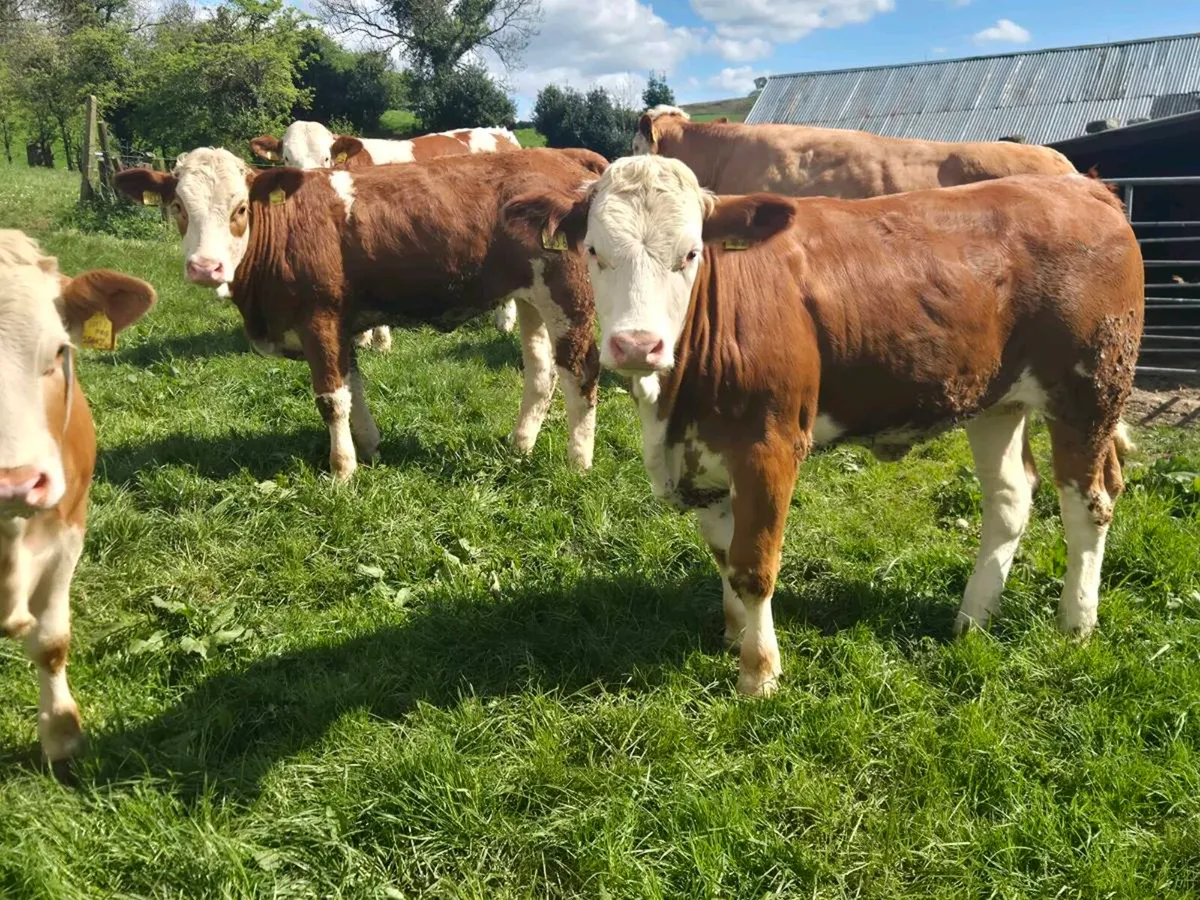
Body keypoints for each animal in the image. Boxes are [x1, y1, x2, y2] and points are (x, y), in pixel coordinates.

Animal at [114, 147, 606, 483]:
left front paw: (342, 468)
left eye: (240, 209)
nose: (205, 267)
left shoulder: (319, 320)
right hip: (531, 299)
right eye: (178, 207)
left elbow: (332, 399)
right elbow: (353, 385)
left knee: (581, 372)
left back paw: (578, 462)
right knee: (541, 374)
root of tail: (560, 155)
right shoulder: (340, 325)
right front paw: (369, 445)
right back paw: (520, 445)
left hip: (569, 297)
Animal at [250, 121, 525, 349]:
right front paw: (361, 338)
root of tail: (501, 133)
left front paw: (381, 342)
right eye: (286, 158)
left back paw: (504, 322)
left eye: (326, 157)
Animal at [503, 156, 1144, 697]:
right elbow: (723, 553)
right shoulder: (703, 458)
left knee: (1088, 503)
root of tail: (1085, 188)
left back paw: (1075, 622)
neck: (675, 402)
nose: (638, 345)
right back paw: (973, 618)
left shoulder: (770, 445)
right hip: (995, 401)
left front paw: (759, 672)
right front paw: (734, 634)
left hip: (1090, 389)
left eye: (689, 254)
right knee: (1010, 498)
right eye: (593, 251)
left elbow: (754, 565)